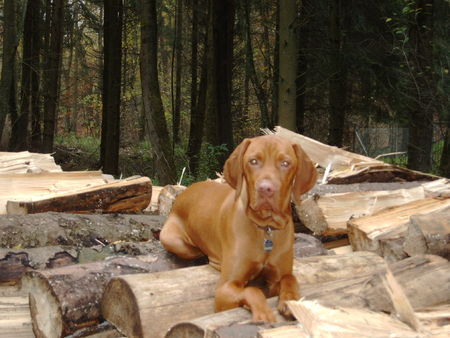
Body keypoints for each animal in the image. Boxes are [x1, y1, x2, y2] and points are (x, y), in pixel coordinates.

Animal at [160, 135, 318, 322]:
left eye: (285, 163)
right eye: (253, 161)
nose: (265, 189)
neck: (265, 228)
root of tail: (183, 193)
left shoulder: (278, 276)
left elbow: (290, 279)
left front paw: (291, 302)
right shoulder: (224, 289)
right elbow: (252, 290)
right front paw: (263, 312)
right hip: (173, 240)